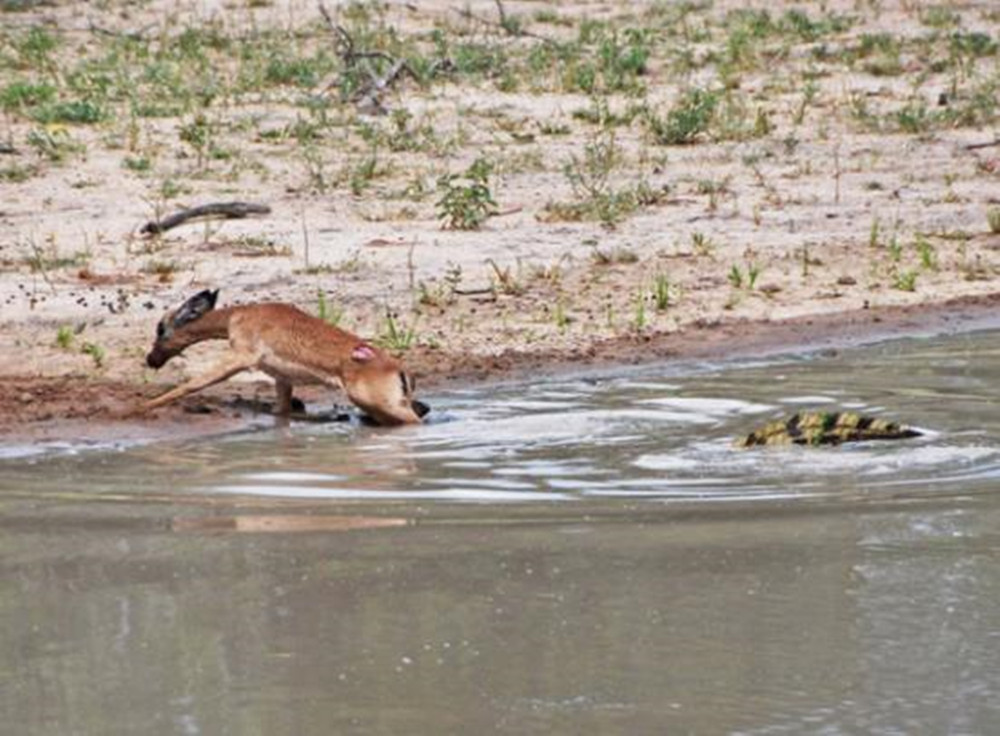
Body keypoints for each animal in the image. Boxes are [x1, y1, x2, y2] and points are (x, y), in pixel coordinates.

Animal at [143, 288, 428, 426]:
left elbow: (192, 384)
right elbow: (281, 411)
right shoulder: (282, 379)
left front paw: (141, 406)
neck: (238, 316)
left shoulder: (240, 357)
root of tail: (399, 369)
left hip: (382, 405)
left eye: (160, 328)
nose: (150, 359)